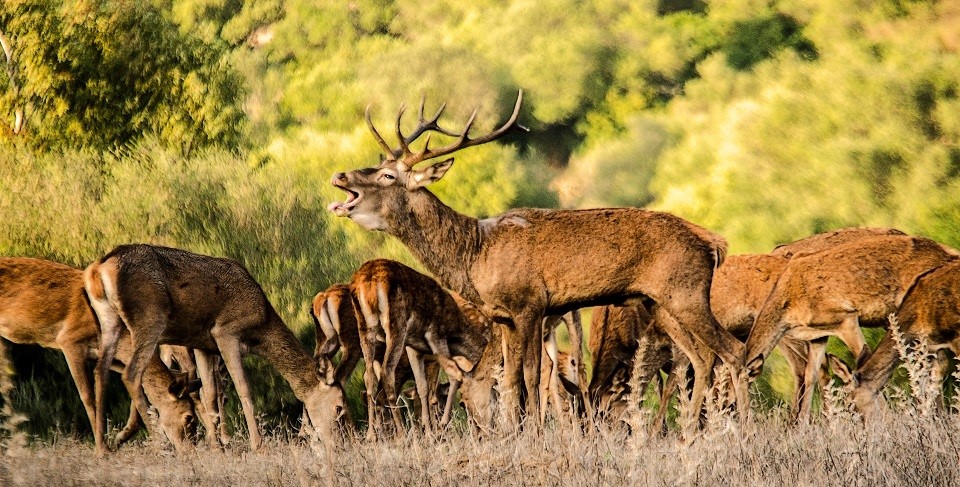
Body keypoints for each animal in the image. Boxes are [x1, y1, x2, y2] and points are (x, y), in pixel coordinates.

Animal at [0, 257, 198, 451]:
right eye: (188, 417)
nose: (190, 450)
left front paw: (119, 438)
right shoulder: (69, 340)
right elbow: (87, 396)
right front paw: (102, 449)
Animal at [85, 244, 347, 455]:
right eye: (339, 407)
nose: (339, 444)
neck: (260, 330)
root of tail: (98, 270)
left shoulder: (202, 344)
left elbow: (209, 393)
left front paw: (217, 445)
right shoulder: (225, 332)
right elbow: (243, 388)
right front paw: (257, 445)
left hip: (108, 320)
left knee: (100, 371)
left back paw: (102, 447)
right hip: (149, 319)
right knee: (131, 374)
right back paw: (161, 444)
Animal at [349, 259, 489, 438]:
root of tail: (367, 283)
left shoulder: (413, 347)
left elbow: (422, 387)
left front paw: (429, 431)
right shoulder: (436, 335)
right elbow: (454, 376)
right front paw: (441, 425)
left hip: (365, 328)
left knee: (369, 378)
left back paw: (371, 434)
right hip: (396, 324)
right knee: (387, 372)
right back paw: (401, 433)